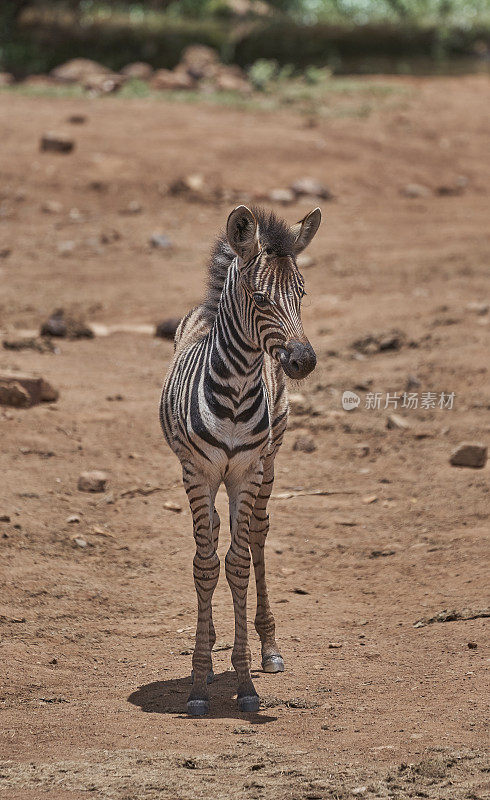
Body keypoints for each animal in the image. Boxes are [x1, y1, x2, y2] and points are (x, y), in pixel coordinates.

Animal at [160, 203, 322, 716]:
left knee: (256, 534)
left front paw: (247, 679)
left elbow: (237, 564)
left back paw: (268, 648)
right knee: (214, 537)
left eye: (302, 294)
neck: (233, 392)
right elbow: (206, 566)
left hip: (270, 461)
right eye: (260, 297)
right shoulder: (198, 473)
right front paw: (198, 680)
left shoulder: (248, 473)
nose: (304, 361)